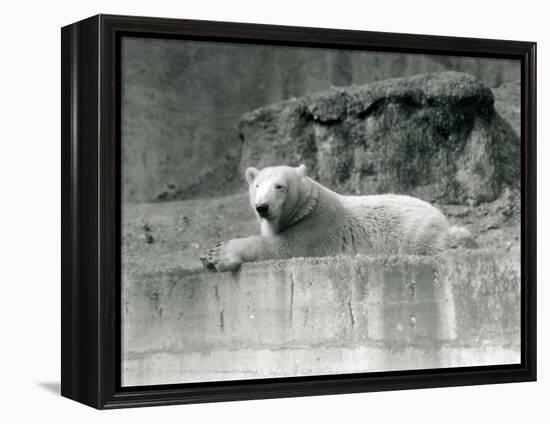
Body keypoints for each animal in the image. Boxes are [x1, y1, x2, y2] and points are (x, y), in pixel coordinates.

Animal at [204, 163, 478, 272]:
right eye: (258, 186)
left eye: (279, 186)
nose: (262, 207)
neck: (307, 205)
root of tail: (439, 213)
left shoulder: (314, 227)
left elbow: (282, 247)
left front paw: (218, 254)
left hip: (415, 231)